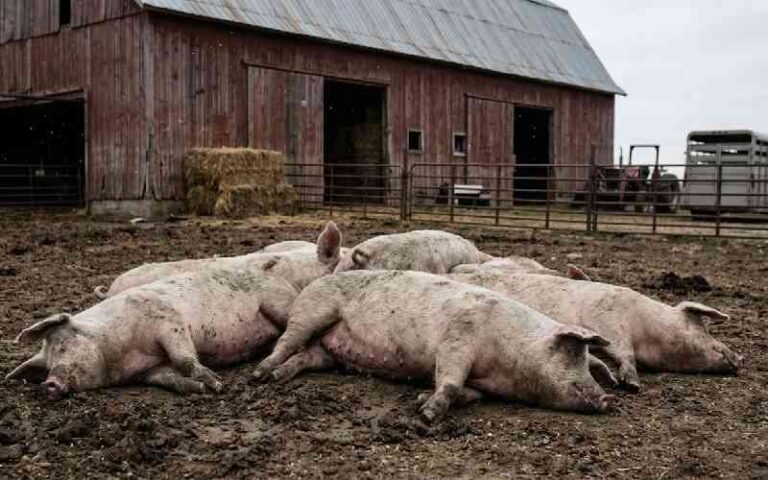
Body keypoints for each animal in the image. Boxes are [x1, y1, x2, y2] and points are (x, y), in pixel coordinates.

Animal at [253, 271, 615, 422]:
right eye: (573, 353)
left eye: (588, 362)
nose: (606, 398)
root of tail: (313, 283)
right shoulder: (457, 339)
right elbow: (450, 381)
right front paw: (427, 414)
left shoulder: (481, 380)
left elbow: (467, 393)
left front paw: (419, 400)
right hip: (311, 312)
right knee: (286, 341)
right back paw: (261, 374)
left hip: (328, 351)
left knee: (305, 357)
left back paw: (279, 376)